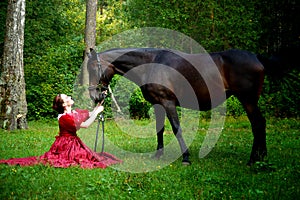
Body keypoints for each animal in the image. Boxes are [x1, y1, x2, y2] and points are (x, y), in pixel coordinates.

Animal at [86, 47, 268, 166]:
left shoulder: (168, 103)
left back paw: (253, 159)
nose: (95, 96)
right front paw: (158, 155)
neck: (152, 63)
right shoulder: (158, 104)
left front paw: (186, 157)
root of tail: (258, 58)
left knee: (257, 124)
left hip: (248, 101)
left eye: (94, 68)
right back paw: (261, 157)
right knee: (260, 124)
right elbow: (159, 130)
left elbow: (176, 128)